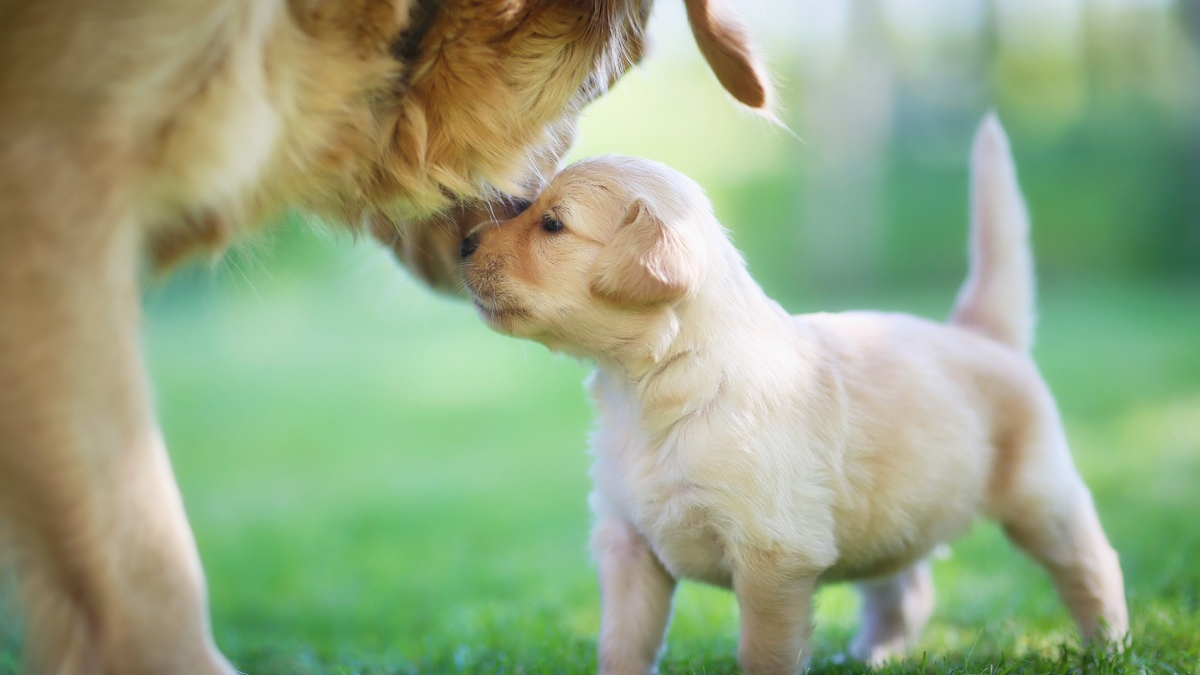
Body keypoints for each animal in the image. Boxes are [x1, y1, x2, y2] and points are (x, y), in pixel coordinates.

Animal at [456, 117, 1123, 672]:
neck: (656, 386)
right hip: (890, 515)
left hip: (1041, 496)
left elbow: (764, 652)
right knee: (907, 587)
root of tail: (981, 333)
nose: (462, 243)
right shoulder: (627, 542)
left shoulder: (773, 558)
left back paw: (1108, 647)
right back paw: (871, 655)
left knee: (1093, 565)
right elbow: (622, 643)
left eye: (552, 224)